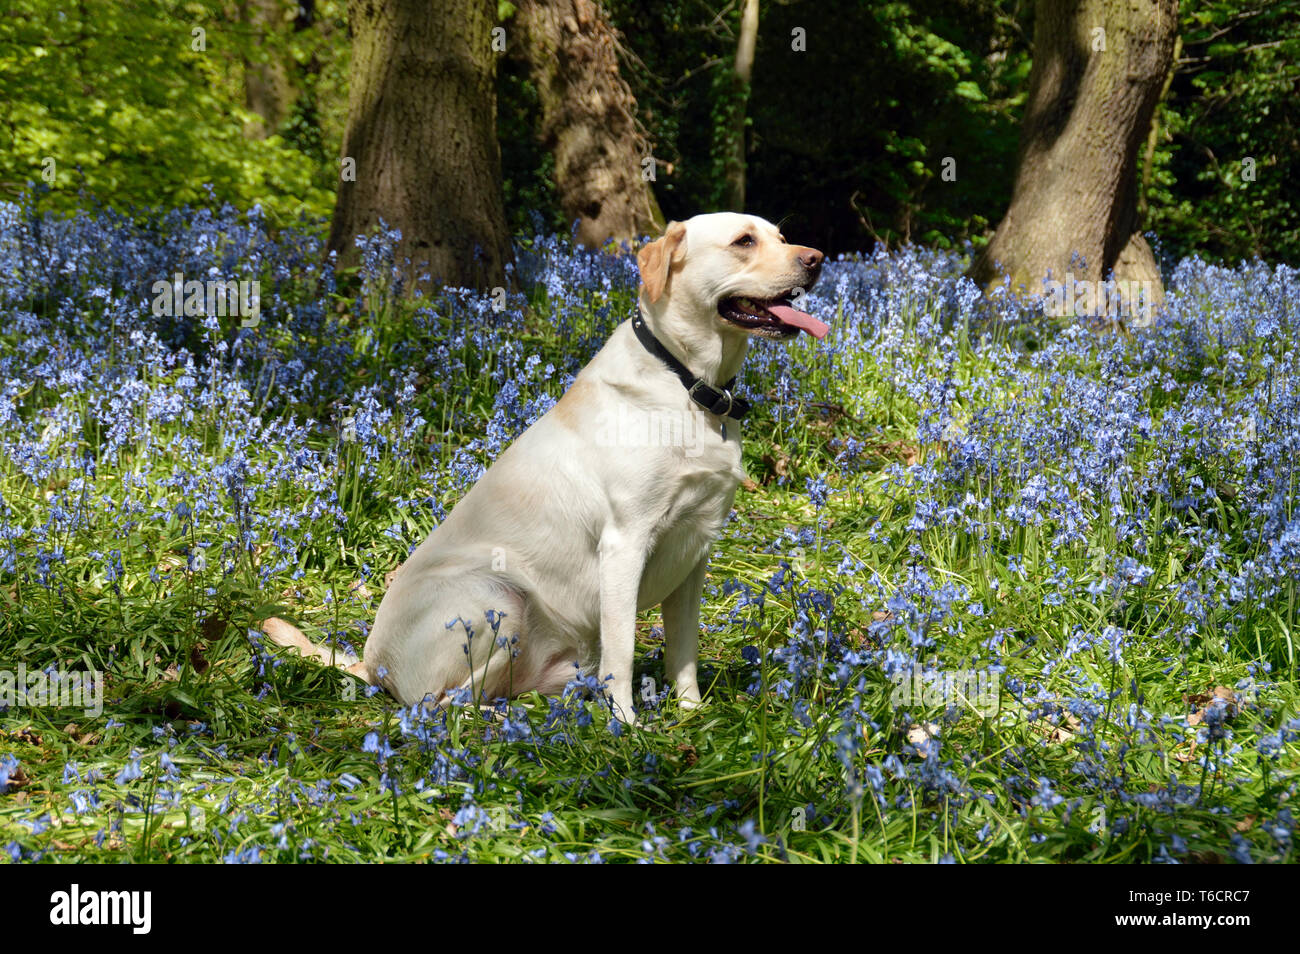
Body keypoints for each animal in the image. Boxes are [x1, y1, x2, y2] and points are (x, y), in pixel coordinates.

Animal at [269, 214, 826, 722]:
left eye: (779, 236)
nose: (817, 258)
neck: (688, 382)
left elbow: (682, 651)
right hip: (500, 597)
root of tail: (372, 666)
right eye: (744, 241)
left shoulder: (696, 549)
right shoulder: (625, 543)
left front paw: (692, 714)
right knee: (440, 704)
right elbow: (623, 653)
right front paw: (628, 727)